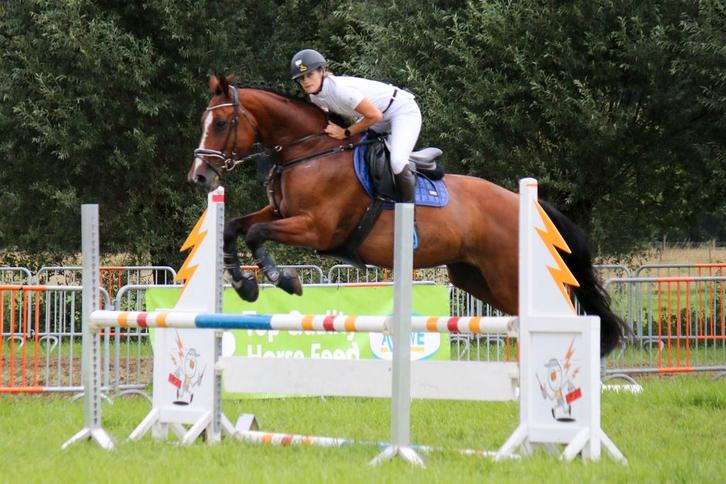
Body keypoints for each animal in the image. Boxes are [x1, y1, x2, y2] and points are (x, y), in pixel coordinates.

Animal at [187, 74, 627, 356]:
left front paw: (283, 279)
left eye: (222, 123)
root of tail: (526, 205)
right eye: (203, 121)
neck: (309, 150)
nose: (200, 175)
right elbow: (236, 229)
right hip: (475, 278)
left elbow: (257, 233)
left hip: (507, 275)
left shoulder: (315, 229)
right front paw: (244, 284)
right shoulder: (282, 212)